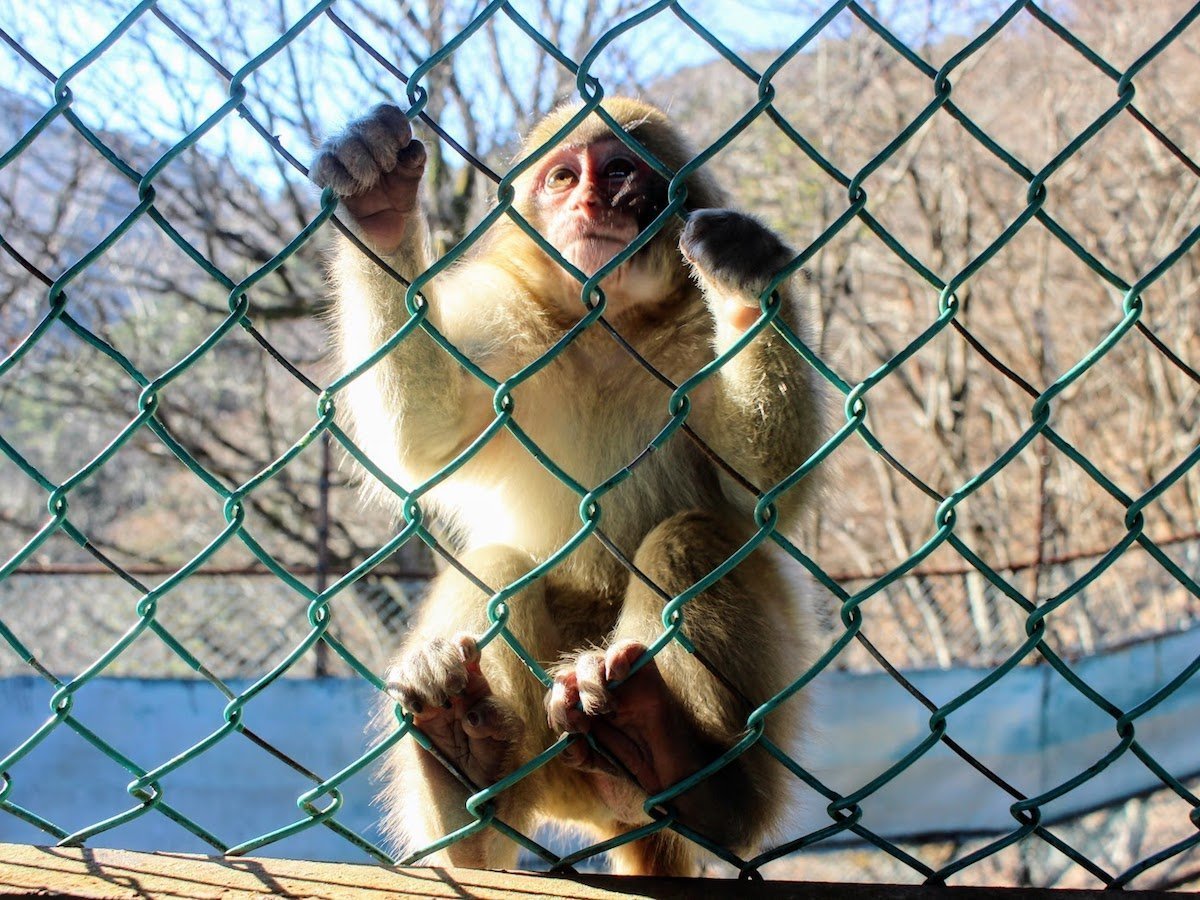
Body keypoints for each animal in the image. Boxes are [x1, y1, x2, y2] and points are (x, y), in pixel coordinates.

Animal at [312, 98, 825, 883]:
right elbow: (425, 437)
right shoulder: (504, 317)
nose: (587, 202)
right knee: (499, 568)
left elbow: (762, 493)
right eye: (562, 176)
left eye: (617, 172)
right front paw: (379, 207)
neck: (607, 321)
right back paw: (469, 778)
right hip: (548, 765)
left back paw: (686, 772)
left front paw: (745, 284)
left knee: (691, 537)